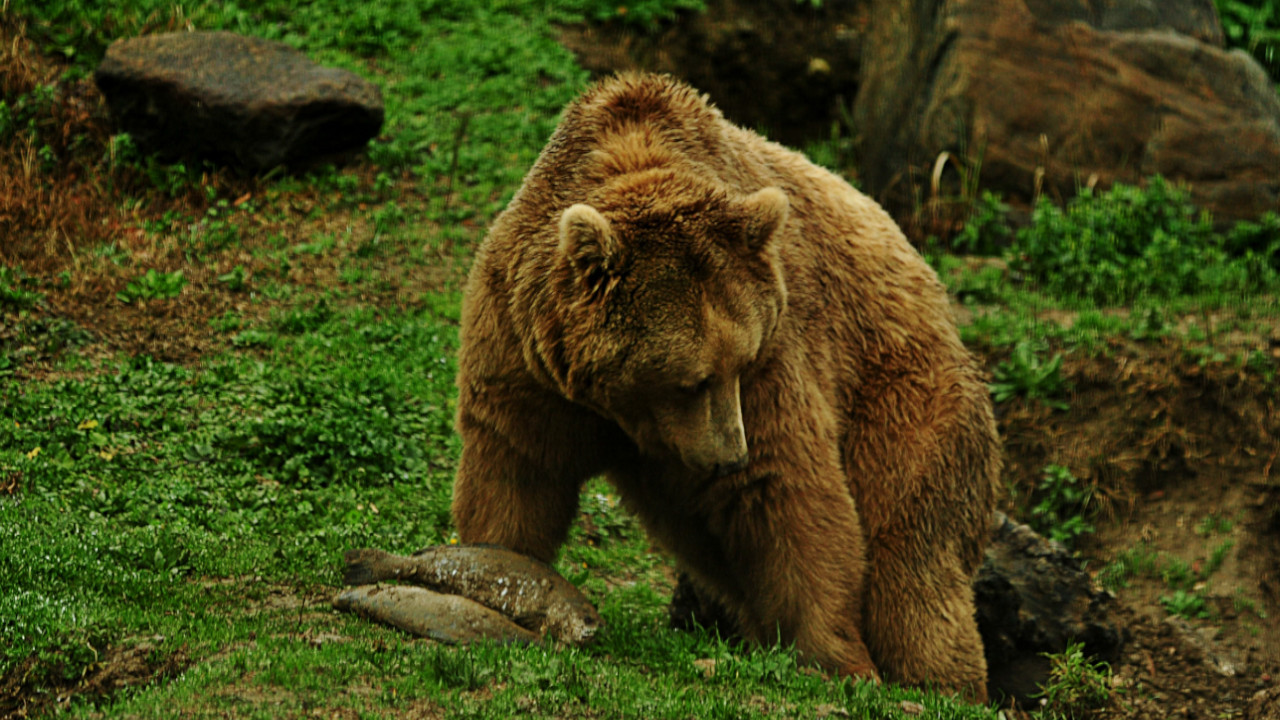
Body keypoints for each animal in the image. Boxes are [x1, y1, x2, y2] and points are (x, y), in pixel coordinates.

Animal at [450, 70, 998, 696]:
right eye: (690, 380)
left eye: (741, 361)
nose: (729, 456)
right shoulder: (528, 349)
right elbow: (517, 471)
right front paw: (493, 571)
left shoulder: (777, 349)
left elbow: (790, 492)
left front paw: (836, 657)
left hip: (905, 393)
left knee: (911, 554)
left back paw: (940, 681)